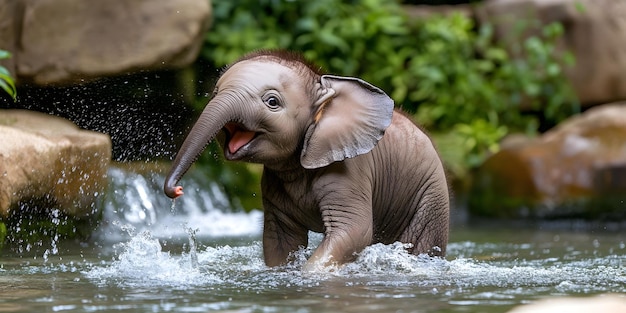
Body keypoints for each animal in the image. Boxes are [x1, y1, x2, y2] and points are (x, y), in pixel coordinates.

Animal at [165, 51, 448, 270]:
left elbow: (354, 231)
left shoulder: (350, 170)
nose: (177, 190)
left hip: (431, 196)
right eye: (215, 92)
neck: (324, 89)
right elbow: (280, 238)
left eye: (272, 102)